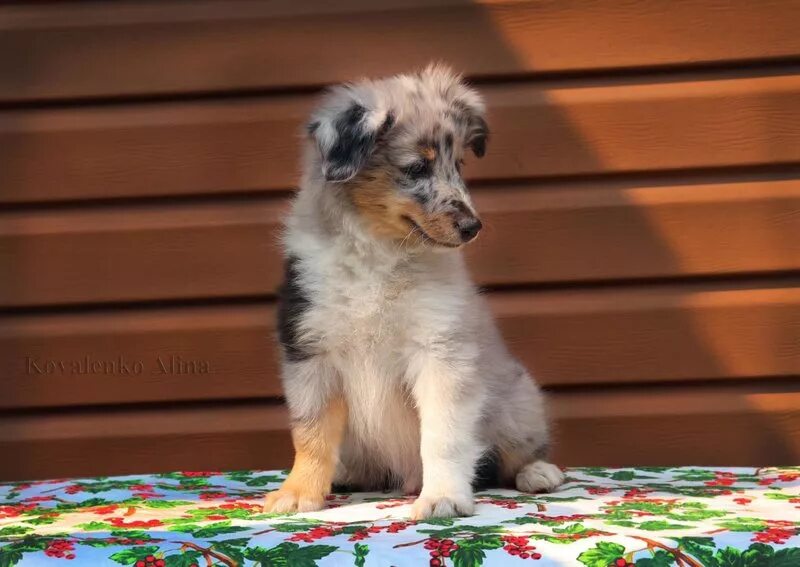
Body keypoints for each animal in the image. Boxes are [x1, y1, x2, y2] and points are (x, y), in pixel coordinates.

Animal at [264, 63, 564, 520]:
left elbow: (443, 436)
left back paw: (539, 473)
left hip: (517, 400)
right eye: (417, 168)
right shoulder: (309, 350)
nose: (473, 227)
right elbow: (311, 433)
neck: (378, 250)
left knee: (516, 453)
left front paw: (442, 497)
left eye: (459, 164)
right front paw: (298, 493)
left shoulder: (440, 352)